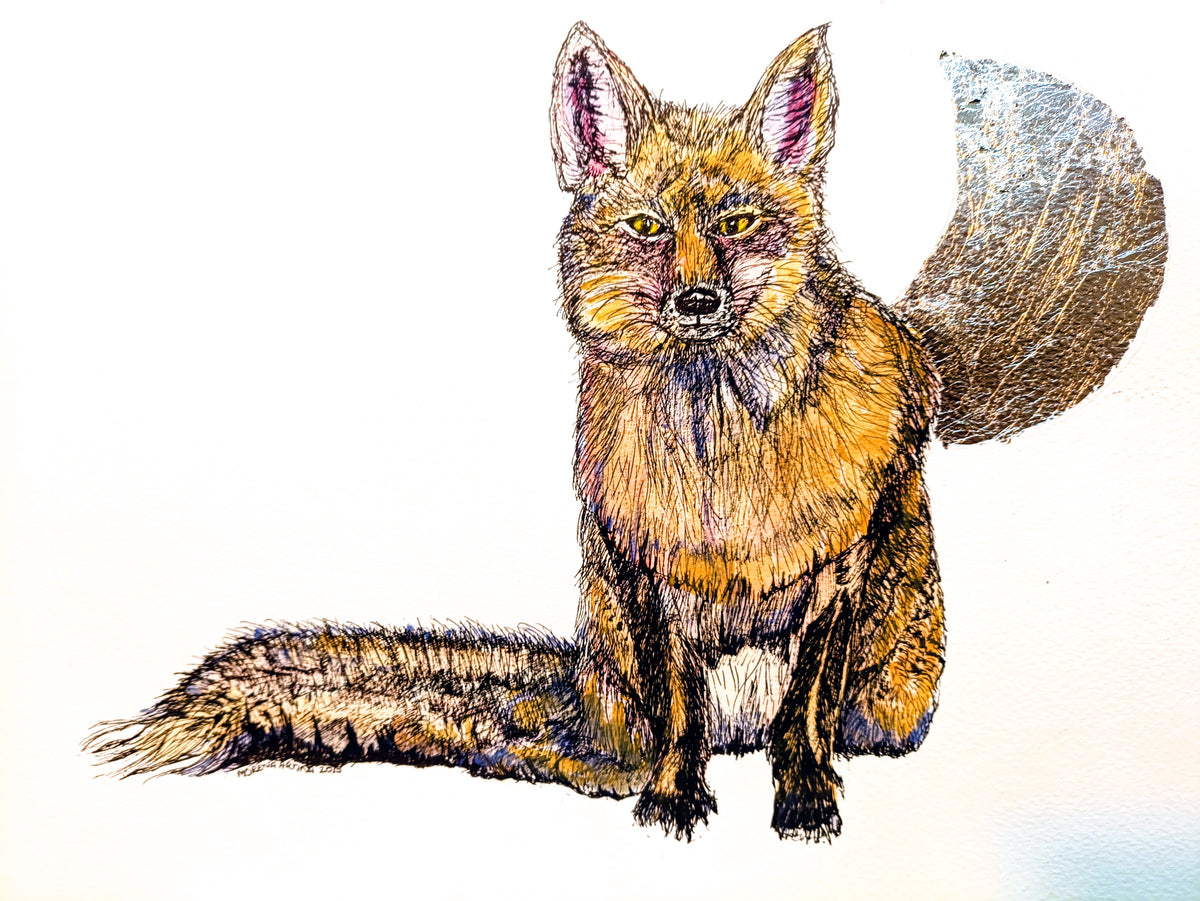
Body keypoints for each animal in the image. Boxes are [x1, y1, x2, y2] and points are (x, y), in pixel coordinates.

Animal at [86, 23, 1165, 841]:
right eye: (649, 228)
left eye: (736, 223)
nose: (695, 300)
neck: (722, 465)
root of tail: (578, 687)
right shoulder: (648, 571)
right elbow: (681, 712)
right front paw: (675, 803)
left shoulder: (836, 575)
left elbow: (804, 715)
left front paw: (805, 804)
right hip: (617, 679)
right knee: (618, 744)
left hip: (896, 685)